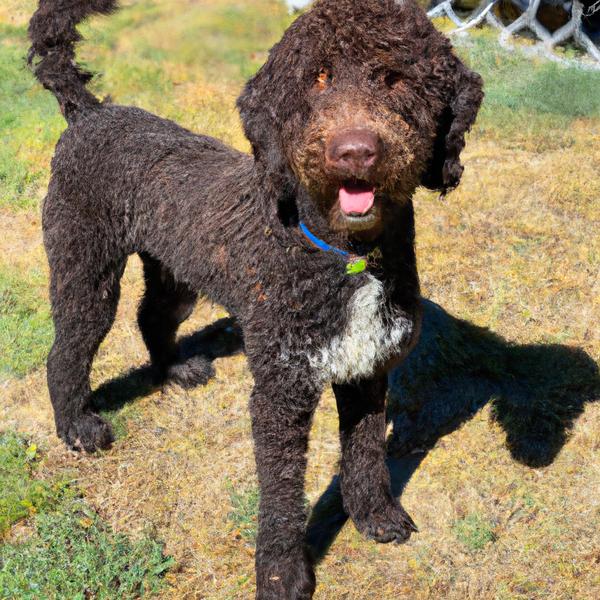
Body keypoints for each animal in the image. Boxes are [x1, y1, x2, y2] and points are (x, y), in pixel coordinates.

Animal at [29, 2, 482, 596]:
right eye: (317, 78)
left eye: (396, 77)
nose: (355, 150)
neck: (348, 258)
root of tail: (90, 114)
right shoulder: (281, 393)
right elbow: (283, 490)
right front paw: (282, 570)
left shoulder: (367, 369)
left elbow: (365, 452)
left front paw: (373, 515)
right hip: (86, 269)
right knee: (67, 350)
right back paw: (77, 427)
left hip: (178, 271)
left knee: (153, 317)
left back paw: (176, 369)